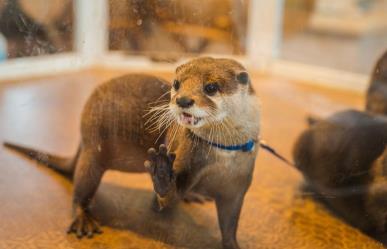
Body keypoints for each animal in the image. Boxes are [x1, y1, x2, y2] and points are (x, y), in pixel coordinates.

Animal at [3, 57, 260, 249]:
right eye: (176, 84)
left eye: (211, 87)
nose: (183, 100)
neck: (223, 161)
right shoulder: (184, 154)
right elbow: (165, 200)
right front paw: (163, 173)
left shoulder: (237, 188)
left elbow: (230, 224)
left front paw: (233, 244)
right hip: (92, 150)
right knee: (80, 187)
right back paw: (83, 219)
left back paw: (193, 195)